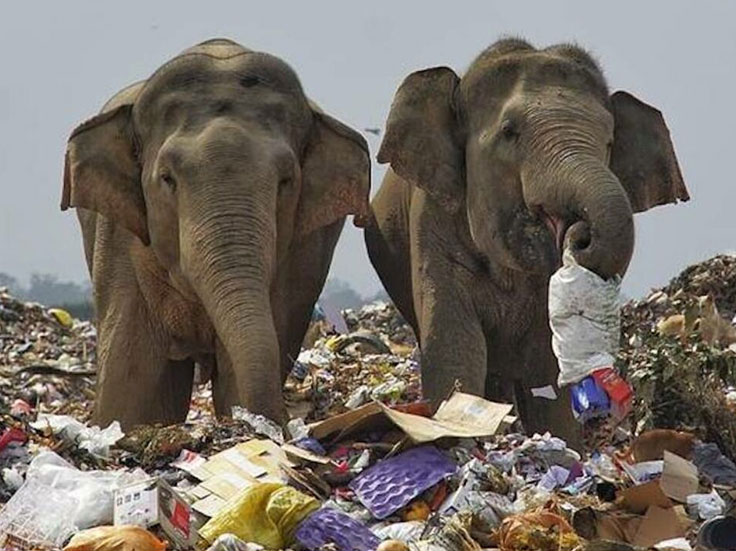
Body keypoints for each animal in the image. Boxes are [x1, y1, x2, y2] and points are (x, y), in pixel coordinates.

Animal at [62, 39, 370, 429]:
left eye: (286, 181)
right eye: (168, 178)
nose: (286, 423)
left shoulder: (302, 253)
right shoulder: (119, 239)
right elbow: (133, 386)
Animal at [364, 39, 689, 445]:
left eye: (610, 141)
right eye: (509, 132)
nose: (579, 234)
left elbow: (546, 368)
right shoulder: (431, 218)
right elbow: (454, 344)